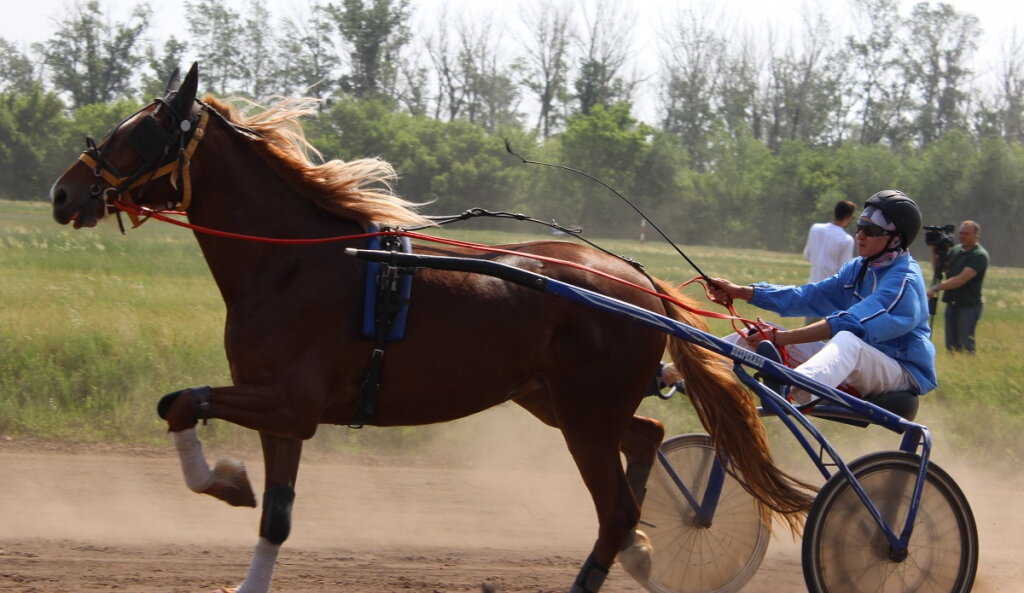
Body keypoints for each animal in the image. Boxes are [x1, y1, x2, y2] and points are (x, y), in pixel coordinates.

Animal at [51, 65, 811, 593]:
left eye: (140, 132)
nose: (64, 192)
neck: (292, 262)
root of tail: (636, 279)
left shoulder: (290, 401)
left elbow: (182, 401)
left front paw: (227, 479)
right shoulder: (283, 413)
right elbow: (272, 509)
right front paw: (241, 513)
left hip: (584, 413)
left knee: (616, 507)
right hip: (555, 401)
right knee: (646, 437)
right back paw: (643, 550)